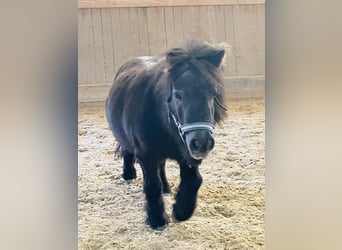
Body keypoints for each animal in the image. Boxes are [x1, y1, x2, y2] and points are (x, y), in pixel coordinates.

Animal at [104, 40, 227, 229]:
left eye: (213, 94)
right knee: (127, 151)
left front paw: (181, 211)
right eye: (178, 94)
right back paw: (128, 175)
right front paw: (157, 220)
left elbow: (194, 181)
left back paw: (166, 187)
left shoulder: (187, 154)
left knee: (161, 165)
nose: (202, 143)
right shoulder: (146, 156)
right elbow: (151, 186)